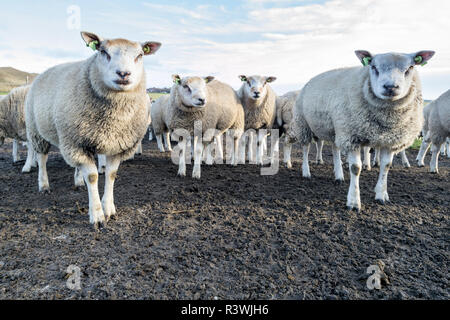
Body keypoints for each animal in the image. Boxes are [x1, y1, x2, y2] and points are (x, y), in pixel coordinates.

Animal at [24, 30, 161, 228]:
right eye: (103, 51)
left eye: (140, 55)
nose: (123, 73)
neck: (114, 119)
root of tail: (43, 73)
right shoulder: (77, 143)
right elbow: (93, 177)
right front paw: (97, 215)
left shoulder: (116, 145)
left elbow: (111, 175)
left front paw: (109, 209)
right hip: (37, 130)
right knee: (42, 158)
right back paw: (43, 185)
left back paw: (77, 181)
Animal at [290, 49, 434, 210]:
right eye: (373, 67)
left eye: (410, 68)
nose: (390, 87)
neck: (387, 120)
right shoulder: (351, 137)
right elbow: (355, 168)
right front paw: (353, 202)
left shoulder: (390, 141)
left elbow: (386, 166)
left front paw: (381, 195)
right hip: (304, 125)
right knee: (305, 148)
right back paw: (306, 172)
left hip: (336, 128)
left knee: (335, 150)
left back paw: (338, 175)